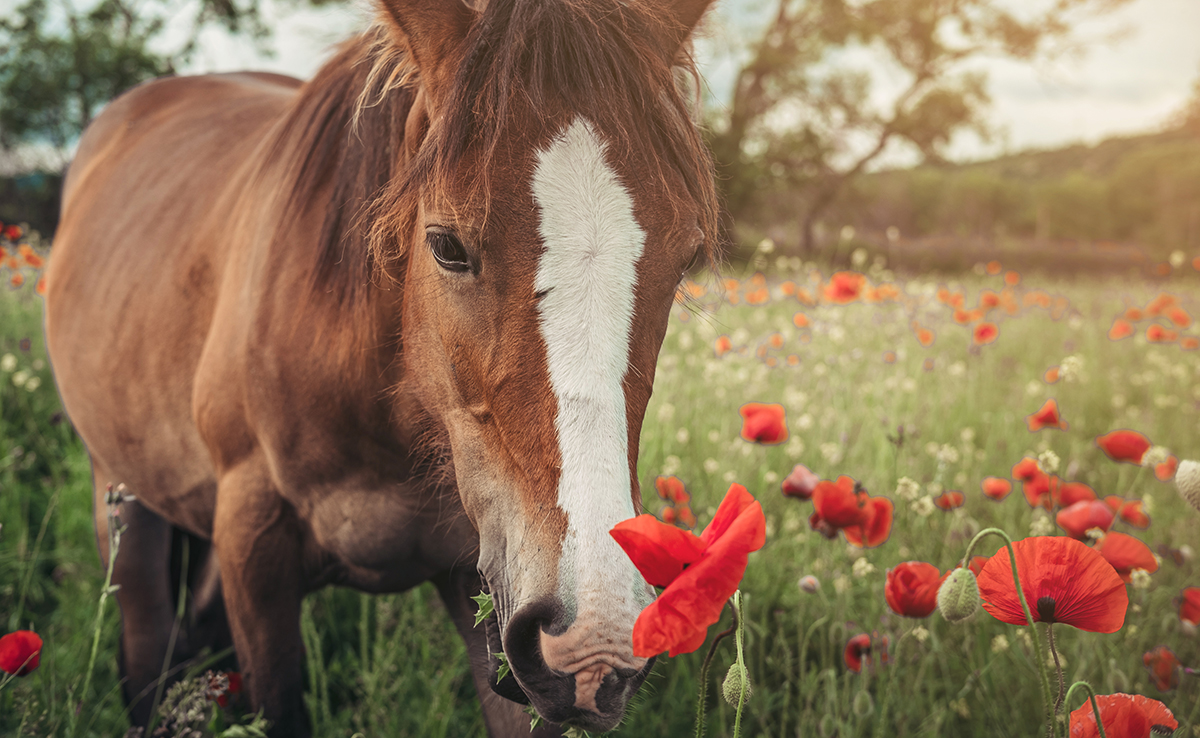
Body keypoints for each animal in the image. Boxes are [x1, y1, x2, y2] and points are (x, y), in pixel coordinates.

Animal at [44, 0, 720, 734]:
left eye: (685, 256)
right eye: (446, 245)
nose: (596, 640)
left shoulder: (485, 589)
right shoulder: (253, 549)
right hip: (121, 498)